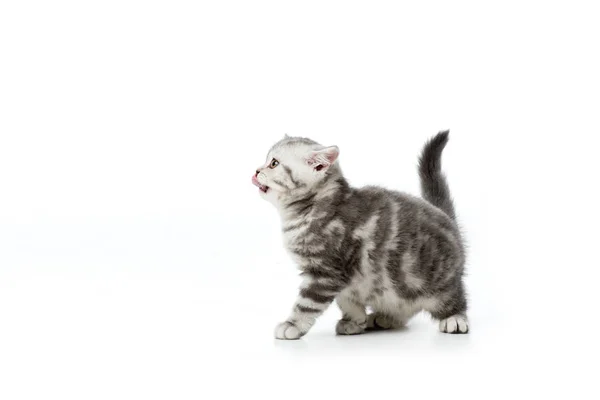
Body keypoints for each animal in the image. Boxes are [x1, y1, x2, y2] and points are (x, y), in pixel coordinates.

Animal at [253, 133, 468, 340]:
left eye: (274, 163)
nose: (256, 171)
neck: (311, 207)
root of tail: (447, 217)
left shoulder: (326, 271)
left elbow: (307, 304)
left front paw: (292, 325)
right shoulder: (345, 276)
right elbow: (346, 298)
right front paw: (355, 319)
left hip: (437, 282)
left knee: (454, 298)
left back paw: (455, 319)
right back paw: (386, 317)